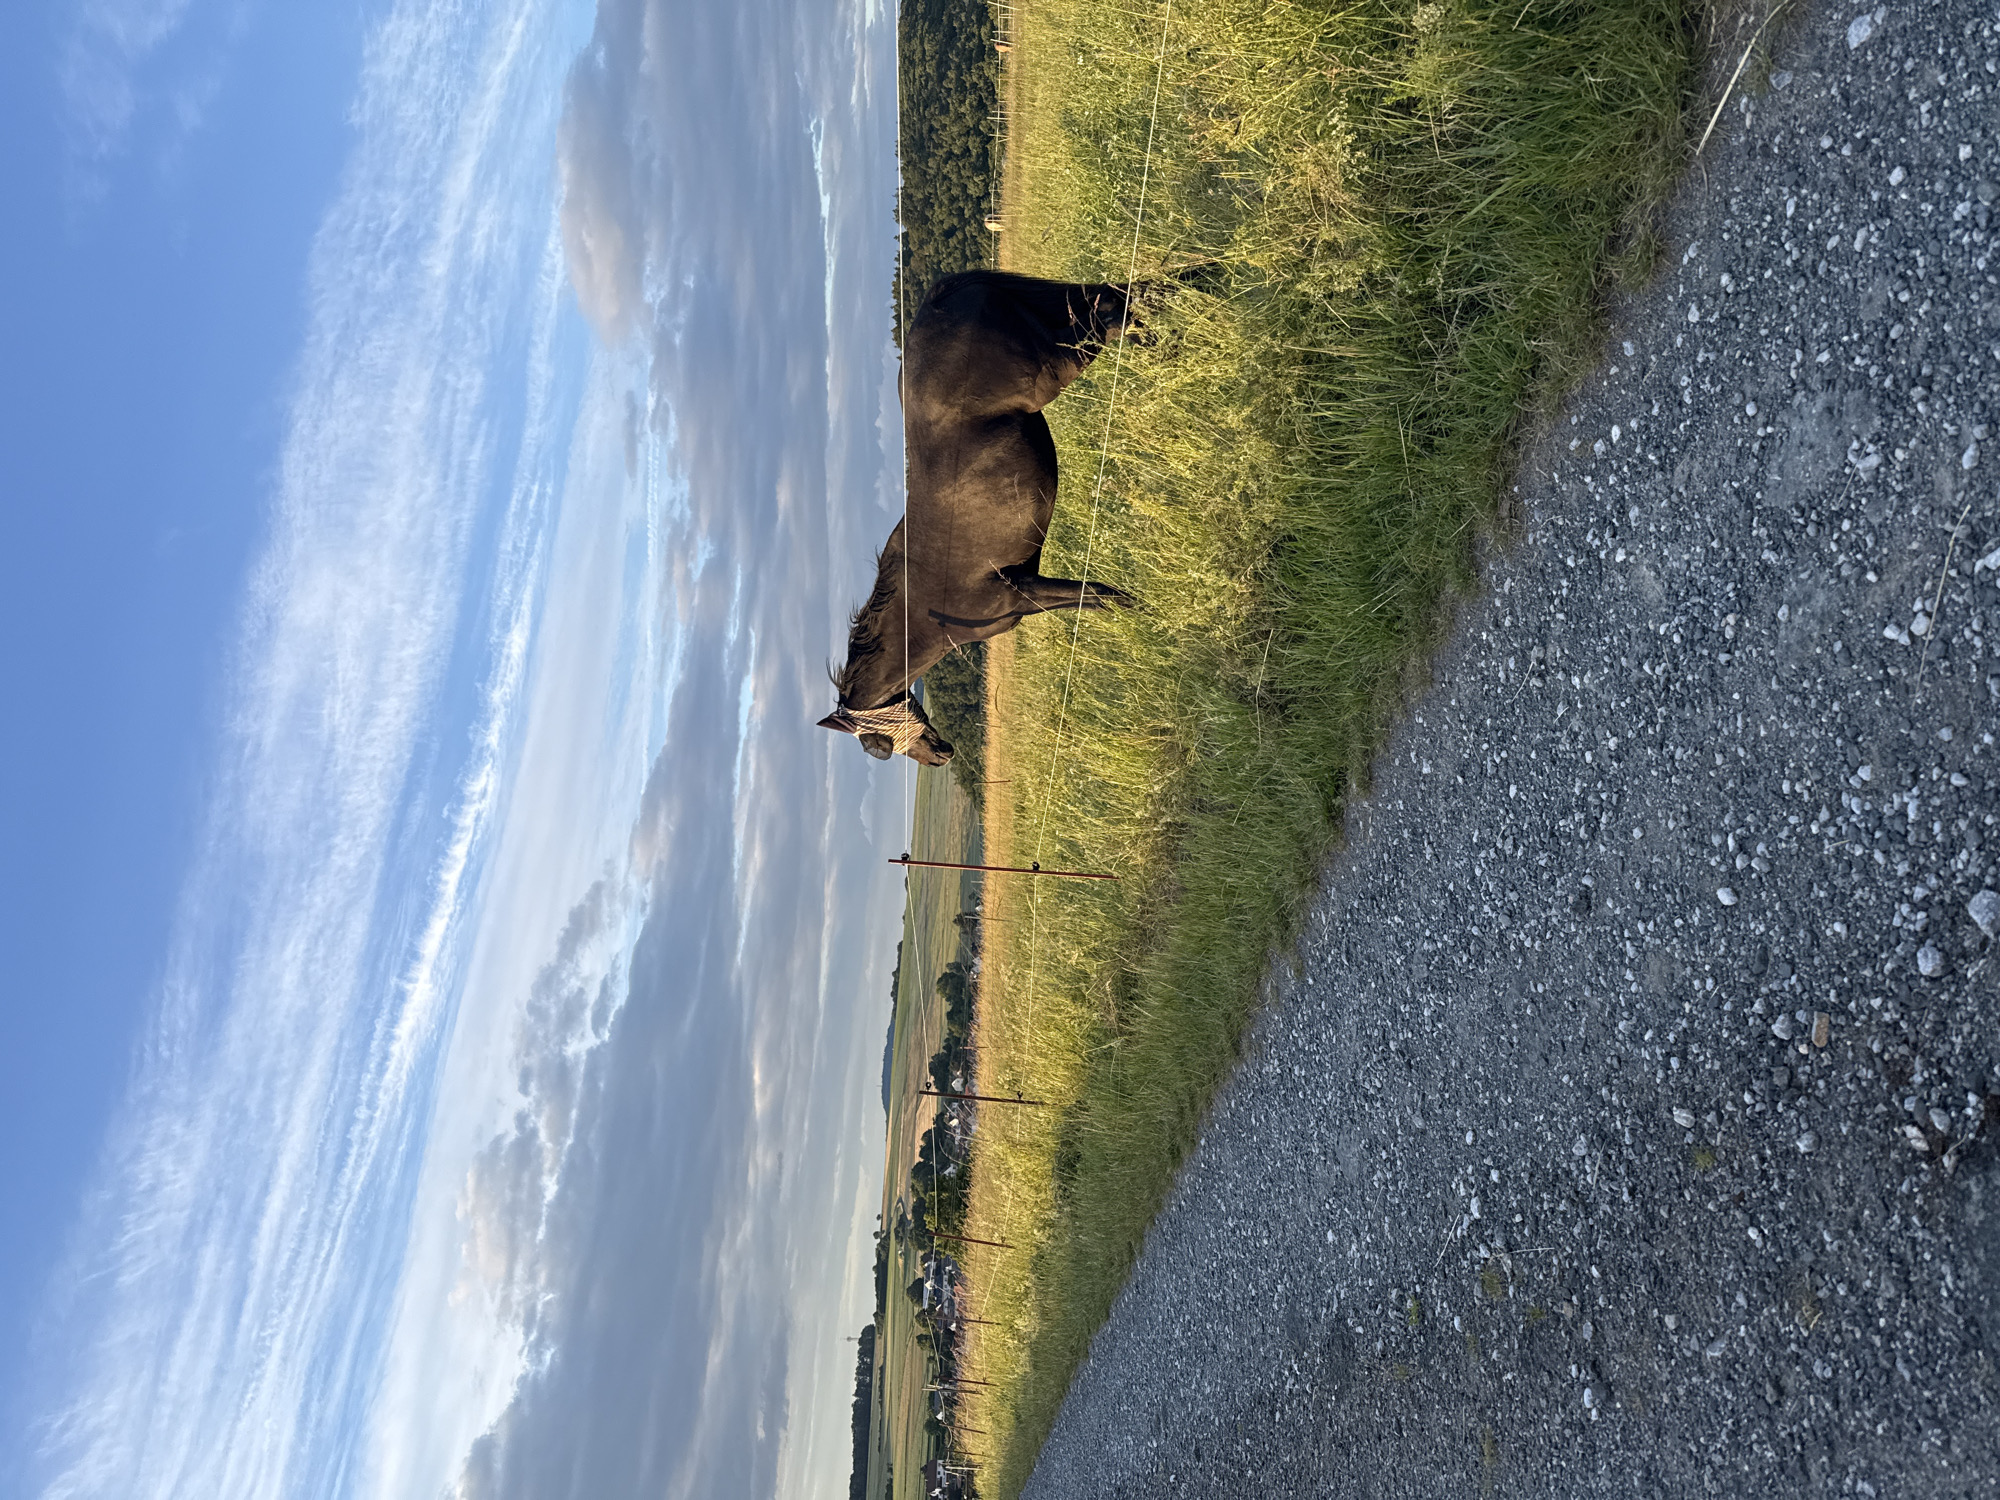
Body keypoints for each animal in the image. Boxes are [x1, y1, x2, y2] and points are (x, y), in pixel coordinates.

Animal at [819, 270, 1146, 764]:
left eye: (876, 745)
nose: (941, 756)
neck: (928, 611)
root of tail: (938, 304)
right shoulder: (1028, 595)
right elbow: (1092, 598)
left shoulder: (1023, 591)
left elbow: (1097, 595)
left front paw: (1147, 614)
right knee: (1120, 293)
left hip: (1065, 356)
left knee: (1110, 310)